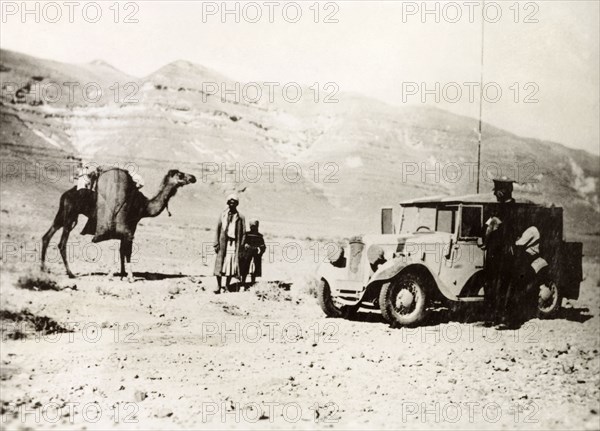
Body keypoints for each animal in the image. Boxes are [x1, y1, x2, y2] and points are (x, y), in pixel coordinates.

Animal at [42, 169, 197, 284]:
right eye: (180, 174)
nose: (193, 177)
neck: (144, 207)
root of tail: (65, 194)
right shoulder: (130, 228)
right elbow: (127, 252)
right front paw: (129, 277)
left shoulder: (128, 228)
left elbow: (122, 250)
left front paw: (122, 274)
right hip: (70, 215)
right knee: (62, 243)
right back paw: (71, 274)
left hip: (62, 215)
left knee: (46, 236)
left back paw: (43, 269)